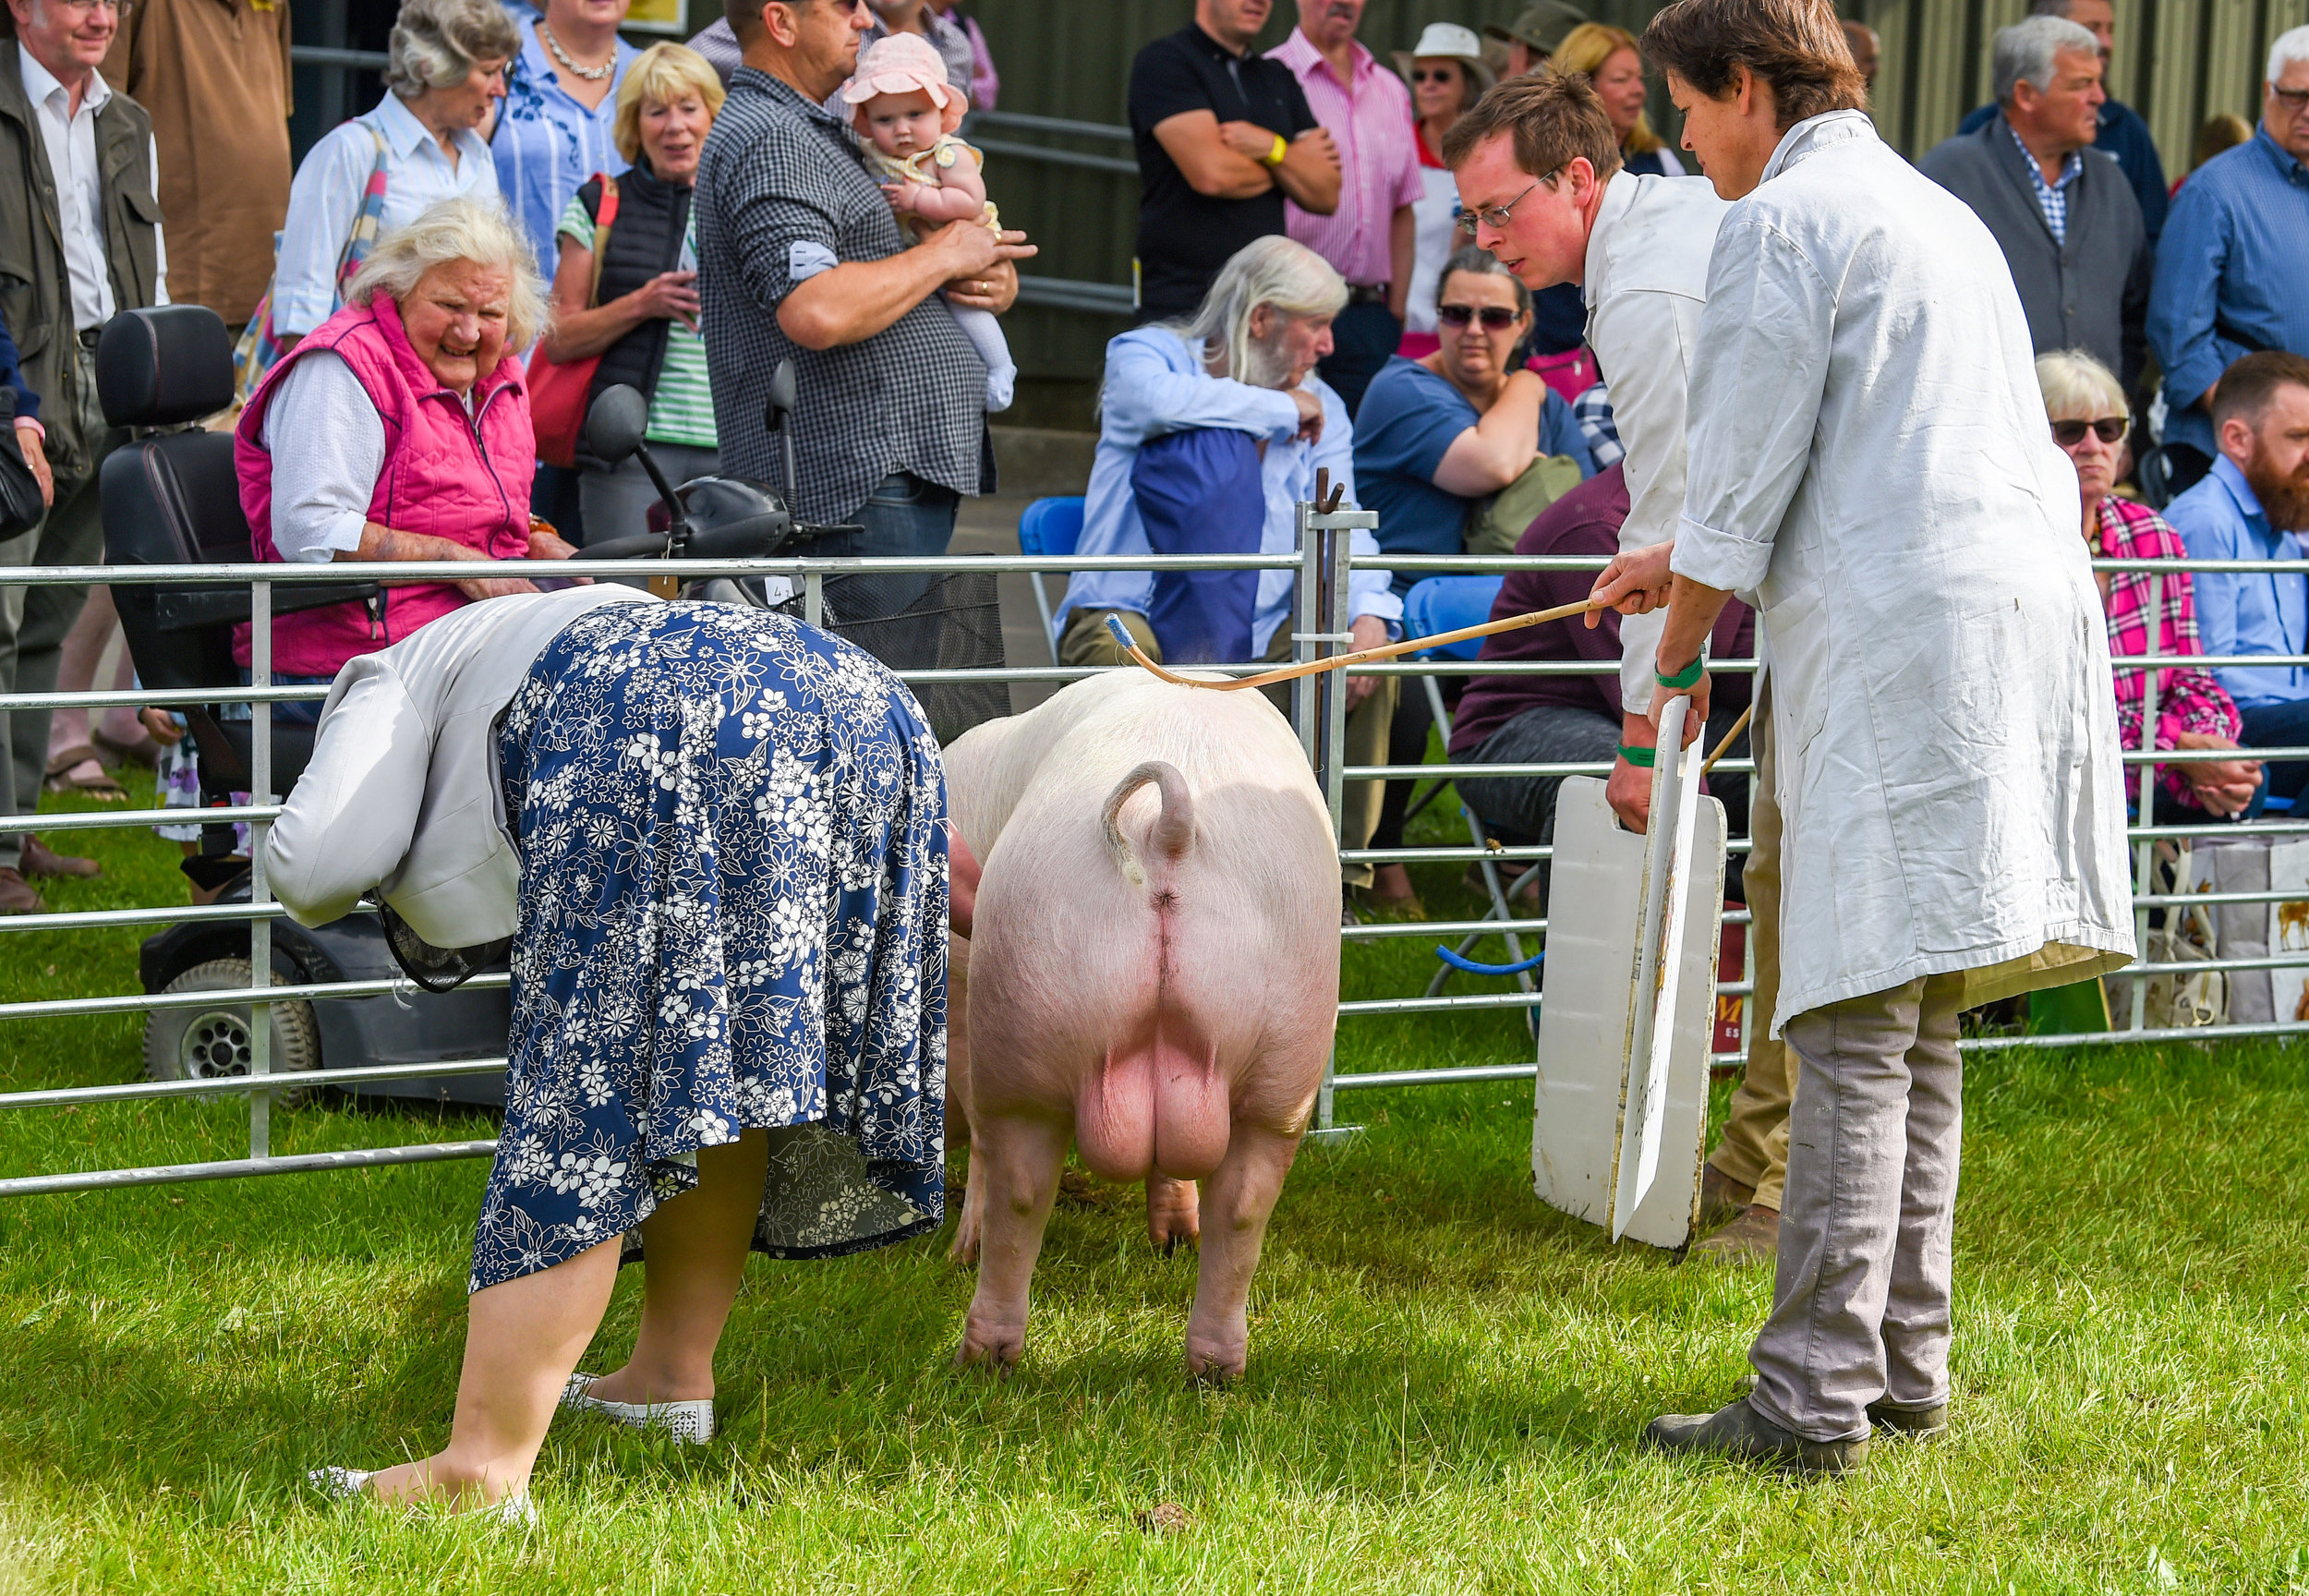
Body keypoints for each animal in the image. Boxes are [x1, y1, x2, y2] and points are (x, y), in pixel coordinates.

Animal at [933, 670, 1339, 1376]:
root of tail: (1170, 824)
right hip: (1289, 1051)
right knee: (1244, 1204)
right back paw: (1213, 1363)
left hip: (1016, 1026)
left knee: (1017, 1185)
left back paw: (981, 1354)